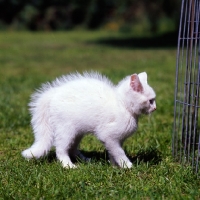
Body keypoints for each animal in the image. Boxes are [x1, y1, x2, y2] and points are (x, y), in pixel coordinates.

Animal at [21, 71, 156, 168]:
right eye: (150, 101)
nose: (155, 108)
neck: (123, 105)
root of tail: (53, 93)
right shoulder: (108, 135)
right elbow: (119, 152)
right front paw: (127, 166)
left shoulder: (117, 139)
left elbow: (113, 152)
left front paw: (114, 166)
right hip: (66, 129)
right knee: (60, 149)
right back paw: (68, 165)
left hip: (77, 131)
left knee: (73, 148)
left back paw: (85, 160)